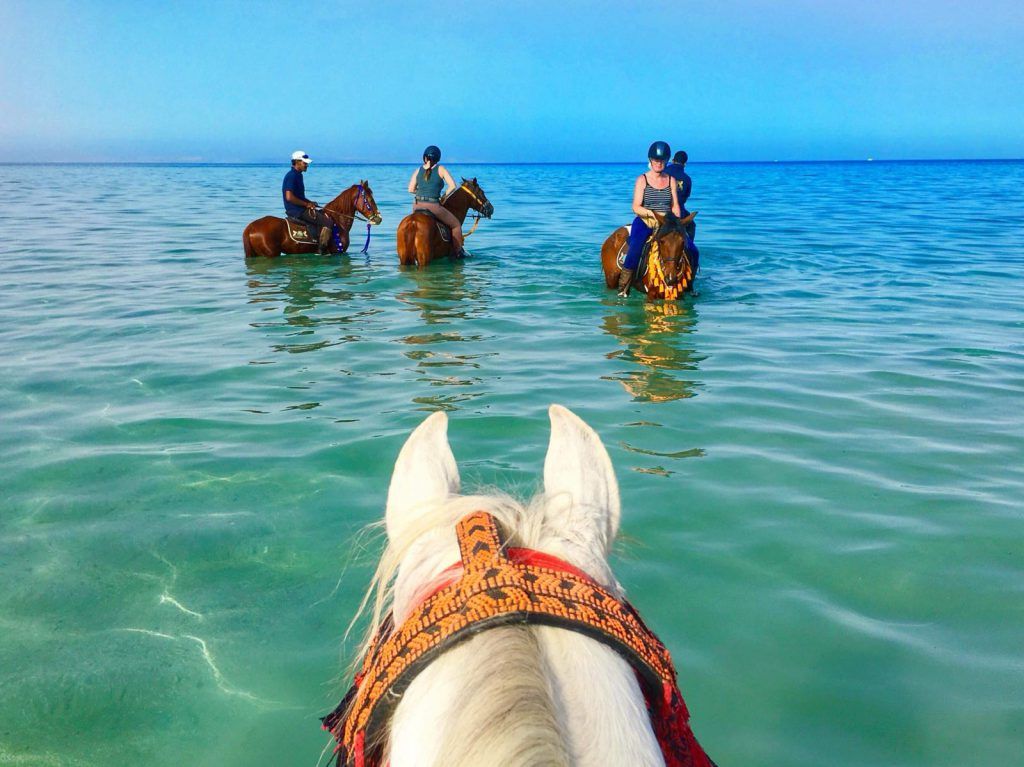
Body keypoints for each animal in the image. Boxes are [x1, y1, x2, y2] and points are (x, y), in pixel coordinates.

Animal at [242, 181, 382, 258]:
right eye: (369, 199)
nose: (378, 218)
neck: (338, 221)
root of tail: (250, 227)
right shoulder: (337, 252)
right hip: (270, 254)